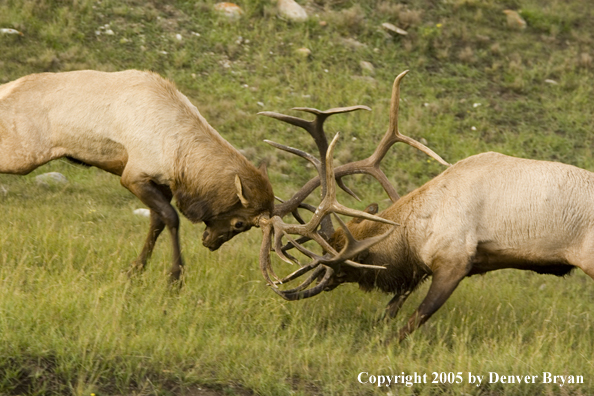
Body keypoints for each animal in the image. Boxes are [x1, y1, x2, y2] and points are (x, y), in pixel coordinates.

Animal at [0, 70, 272, 282]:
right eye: (240, 223)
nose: (211, 242)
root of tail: (7, 87)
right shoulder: (133, 175)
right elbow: (172, 217)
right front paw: (175, 277)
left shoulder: (162, 184)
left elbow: (157, 221)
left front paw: (135, 269)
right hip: (23, 154)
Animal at [256, 72, 592, 344]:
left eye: (338, 265)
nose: (293, 290)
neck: (414, 234)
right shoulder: (421, 270)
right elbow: (392, 309)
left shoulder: (455, 259)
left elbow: (414, 319)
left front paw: (384, 346)